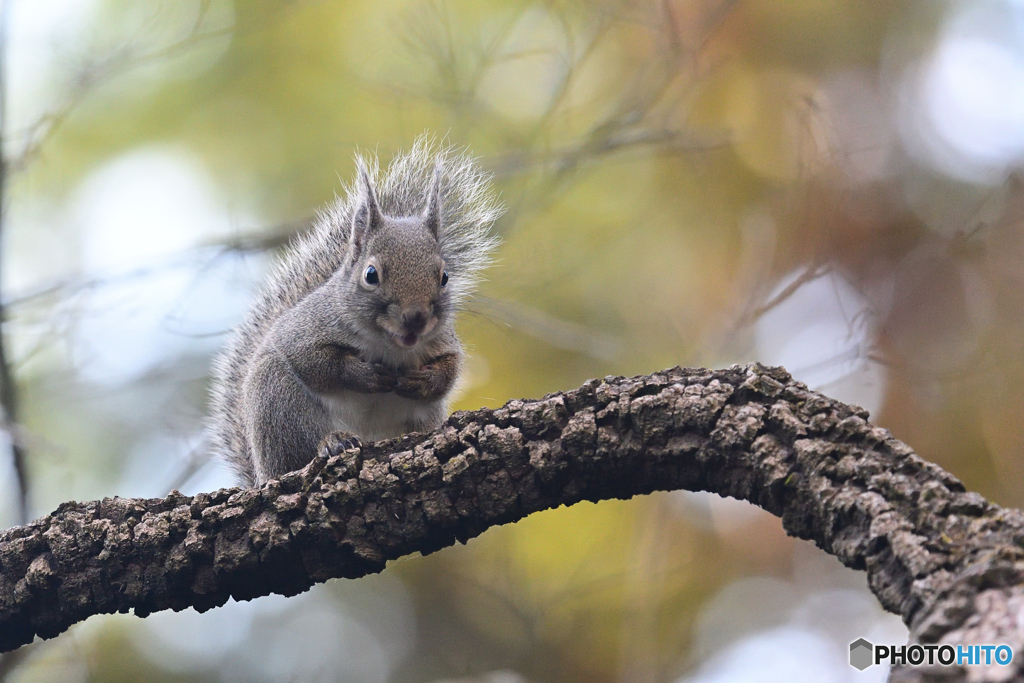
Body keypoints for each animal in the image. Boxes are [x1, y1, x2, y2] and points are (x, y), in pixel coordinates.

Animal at [205, 137, 501, 485]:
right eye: (371, 274)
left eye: (444, 277)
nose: (415, 318)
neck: (388, 345)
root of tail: (261, 474)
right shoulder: (306, 330)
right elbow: (318, 362)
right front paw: (365, 375)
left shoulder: (443, 341)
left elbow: (450, 370)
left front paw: (421, 381)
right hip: (278, 403)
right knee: (299, 450)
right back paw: (332, 441)